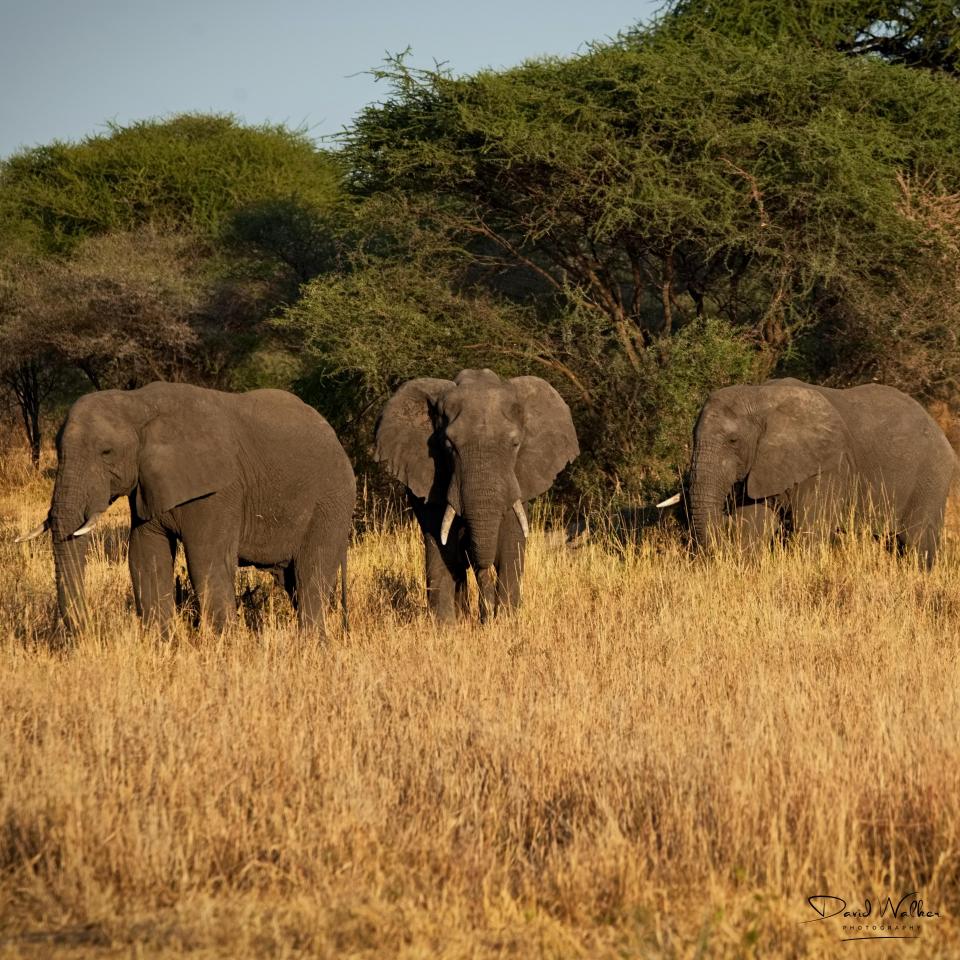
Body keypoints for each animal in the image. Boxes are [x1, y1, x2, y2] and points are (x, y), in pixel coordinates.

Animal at [16, 382, 356, 634]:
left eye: (106, 452)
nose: (87, 629)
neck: (138, 403)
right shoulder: (146, 486)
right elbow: (145, 555)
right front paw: (161, 642)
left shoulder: (218, 490)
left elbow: (205, 560)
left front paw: (223, 647)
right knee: (291, 580)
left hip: (332, 501)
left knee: (312, 573)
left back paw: (311, 644)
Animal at [375, 368, 579, 621]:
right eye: (448, 445)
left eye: (515, 444)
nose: (486, 618)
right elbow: (443, 546)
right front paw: (447, 626)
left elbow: (510, 542)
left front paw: (506, 621)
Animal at [687, 377, 957, 567]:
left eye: (733, 441)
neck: (759, 395)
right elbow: (753, 525)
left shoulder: (828, 466)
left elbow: (810, 531)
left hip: (932, 476)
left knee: (917, 542)